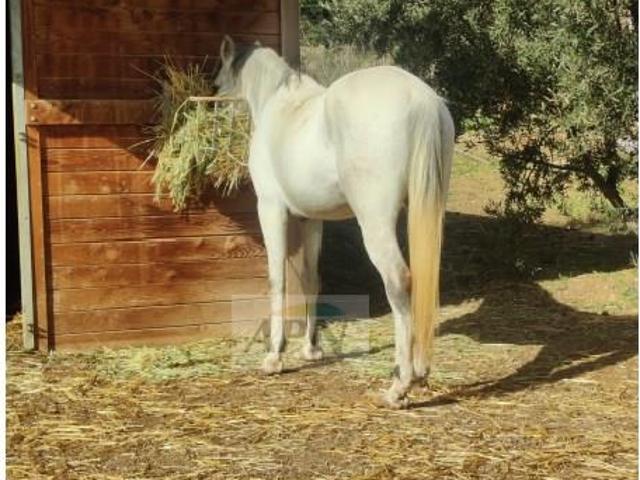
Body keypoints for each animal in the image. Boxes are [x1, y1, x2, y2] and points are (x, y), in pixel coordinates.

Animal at [214, 36, 454, 408]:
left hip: (375, 223)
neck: (278, 105)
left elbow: (277, 280)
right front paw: (311, 349)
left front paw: (274, 357)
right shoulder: (313, 220)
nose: (213, 111)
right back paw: (419, 371)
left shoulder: (270, 208)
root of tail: (421, 100)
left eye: (218, 82)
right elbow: (312, 279)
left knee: (399, 282)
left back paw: (399, 386)